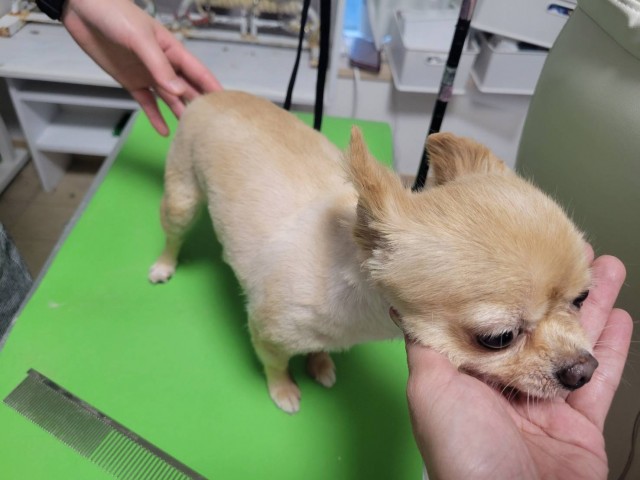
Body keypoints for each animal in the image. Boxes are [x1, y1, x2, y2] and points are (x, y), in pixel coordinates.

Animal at [149, 91, 596, 414]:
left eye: (582, 299)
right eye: (498, 338)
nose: (585, 371)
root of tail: (212, 94)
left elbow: (319, 347)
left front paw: (320, 363)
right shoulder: (266, 332)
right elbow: (275, 363)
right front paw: (284, 390)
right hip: (182, 197)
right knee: (174, 233)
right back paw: (164, 265)